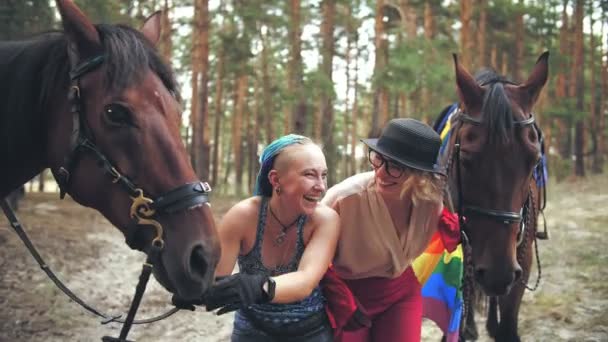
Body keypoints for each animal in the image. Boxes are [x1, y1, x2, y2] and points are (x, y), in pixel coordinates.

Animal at [436, 52, 552, 340]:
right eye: (465, 158)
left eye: (534, 160)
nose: (498, 274)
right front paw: (466, 328)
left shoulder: (521, 259)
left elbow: (508, 322)